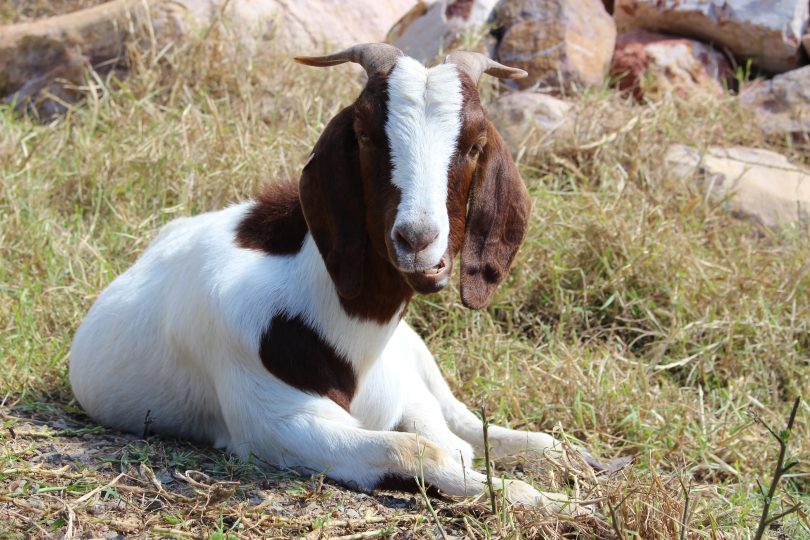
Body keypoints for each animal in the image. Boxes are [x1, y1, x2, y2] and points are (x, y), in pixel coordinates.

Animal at [69, 42, 600, 516]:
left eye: (474, 143)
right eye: (364, 134)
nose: (417, 240)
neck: (349, 334)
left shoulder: (405, 389)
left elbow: (445, 439)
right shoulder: (276, 425)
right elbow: (419, 449)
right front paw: (554, 502)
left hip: (419, 353)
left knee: (468, 420)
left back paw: (574, 455)